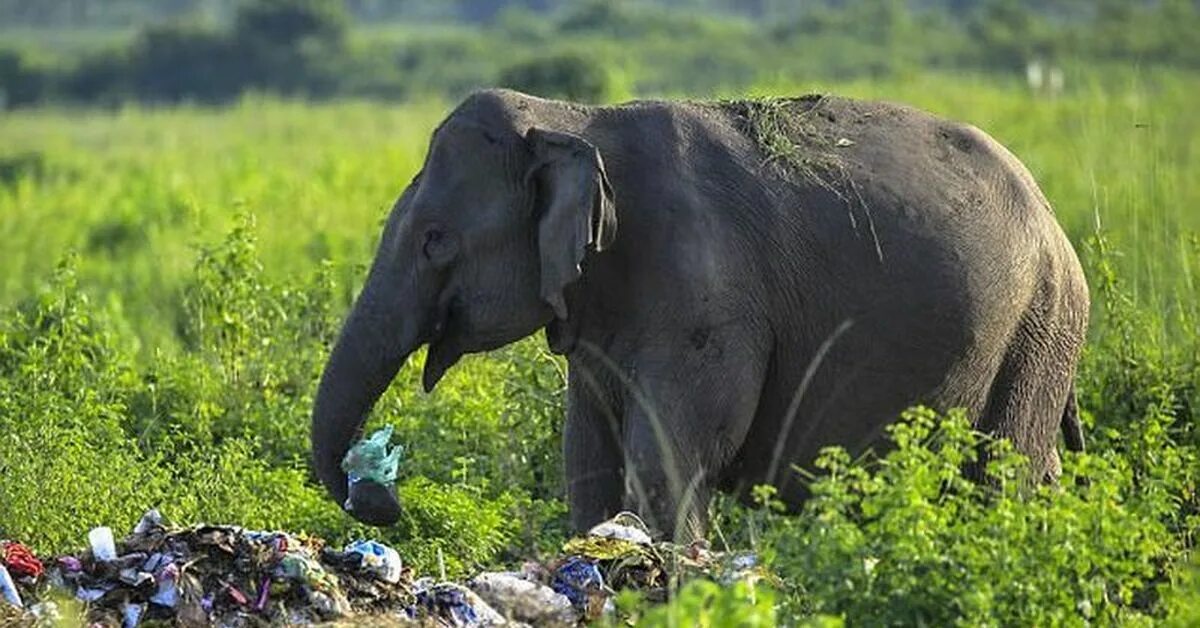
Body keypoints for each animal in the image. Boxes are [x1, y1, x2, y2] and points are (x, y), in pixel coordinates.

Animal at [309, 88, 1089, 540]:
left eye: (435, 240)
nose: (380, 499)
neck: (571, 119)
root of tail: (1056, 224)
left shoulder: (706, 296)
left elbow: (671, 455)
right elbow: (587, 455)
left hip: (1038, 328)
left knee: (1004, 480)